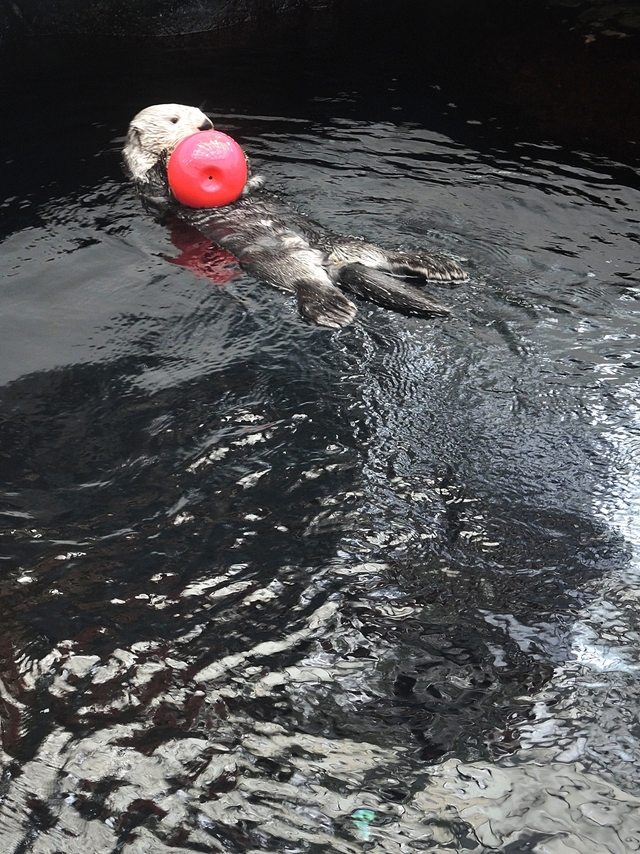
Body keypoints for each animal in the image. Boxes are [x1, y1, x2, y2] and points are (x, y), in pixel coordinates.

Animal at [124, 101, 464, 328]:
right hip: (274, 263)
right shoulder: (150, 189)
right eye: (174, 119)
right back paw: (332, 307)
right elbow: (162, 184)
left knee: (385, 256)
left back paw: (436, 264)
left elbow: (250, 180)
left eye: (200, 113)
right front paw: (167, 156)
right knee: (306, 282)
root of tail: (329, 261)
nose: (207, 126)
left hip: (343, 242)